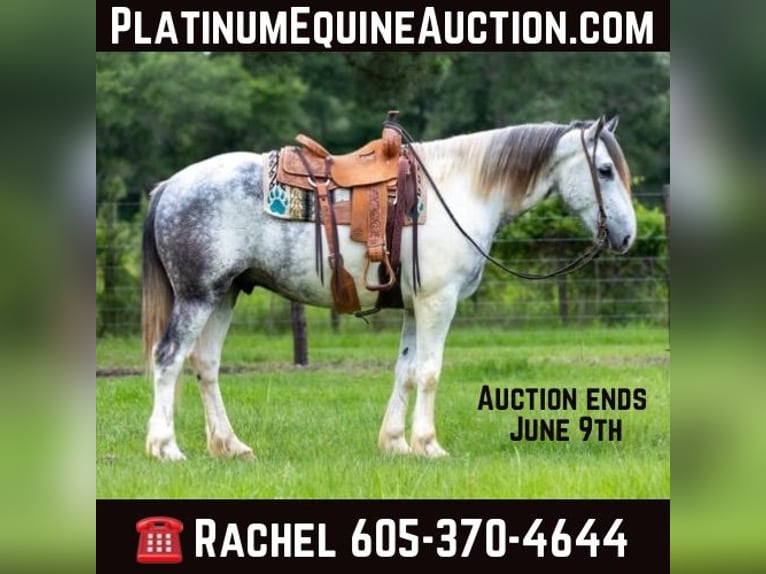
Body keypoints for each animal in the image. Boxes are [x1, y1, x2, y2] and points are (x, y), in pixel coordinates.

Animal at [141, 115, 636, 461]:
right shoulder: (438, 303)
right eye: (605, 170)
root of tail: (169, 186)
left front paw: (396, 442)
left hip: (224, 294)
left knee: (205, 364)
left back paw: (231, 446)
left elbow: (406, 370)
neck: (461, 190)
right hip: (197, 297)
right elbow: (430, 372)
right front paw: (428, 444)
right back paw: (166, 447)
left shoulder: (416, 307)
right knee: (168, 359)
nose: (627, 235)